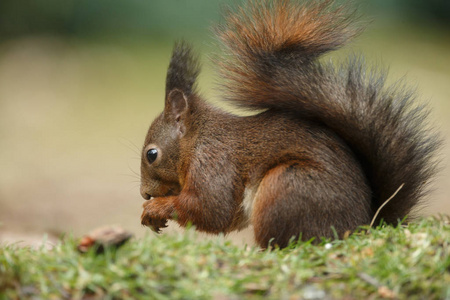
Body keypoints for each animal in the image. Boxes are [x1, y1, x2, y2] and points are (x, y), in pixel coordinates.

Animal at [138, 0, 440, 248]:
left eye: (152, 154)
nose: (144, 194)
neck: (197, 138)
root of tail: (363, 226)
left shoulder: (214, 163)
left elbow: (212, 210)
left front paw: (157, 209)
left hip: (286, 185)